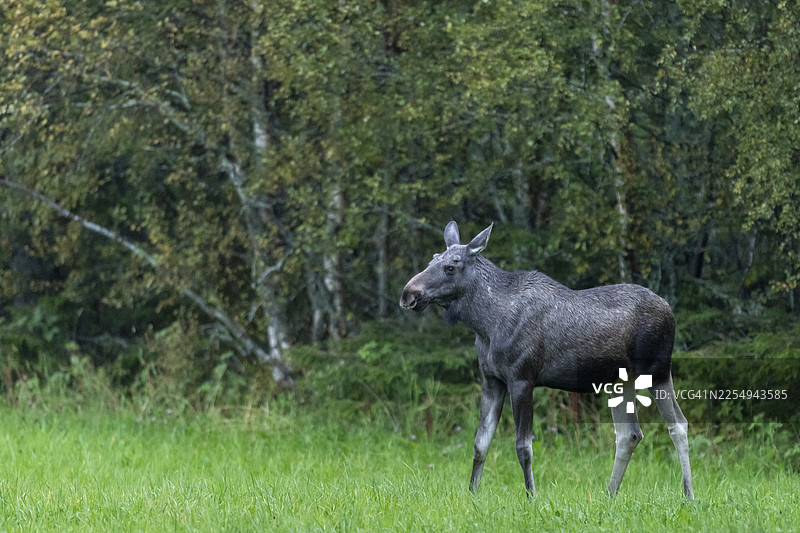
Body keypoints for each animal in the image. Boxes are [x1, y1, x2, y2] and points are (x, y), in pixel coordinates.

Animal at [400, 221, 694, 499]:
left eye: (450, 266)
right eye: (432, 259)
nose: (408, 293)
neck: (485, 324)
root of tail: (669, 309)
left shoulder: (522, 378)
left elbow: (523, 446)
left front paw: (531, 495)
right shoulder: (491, 380)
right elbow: (480, 443)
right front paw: (472, 494)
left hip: (658, 370)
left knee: (677, 425)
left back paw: (688, 494)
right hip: (620, 381)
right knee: (629, 434)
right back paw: (609, 495)